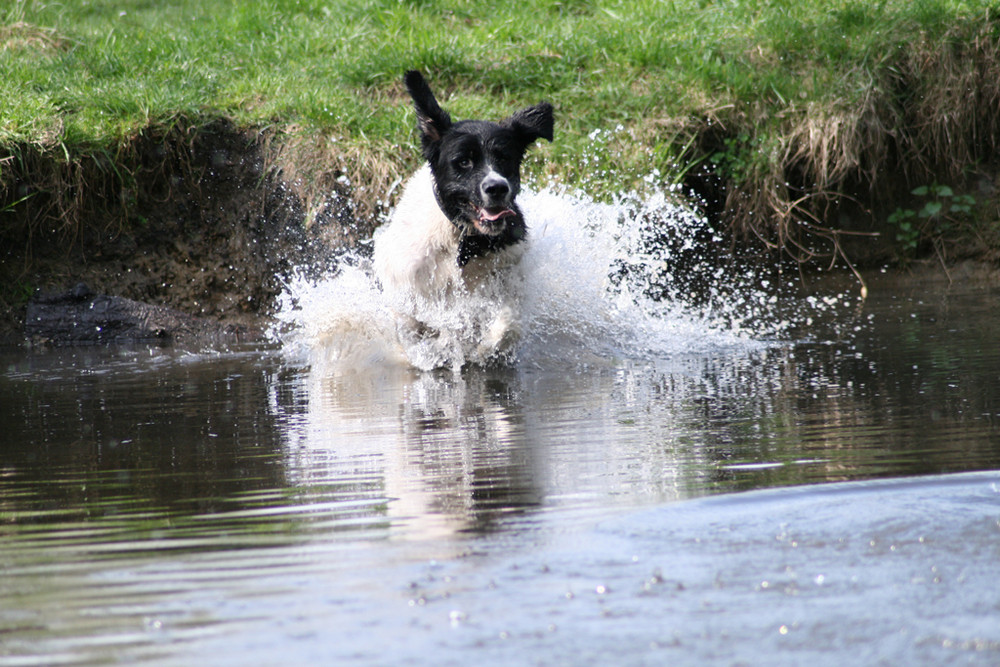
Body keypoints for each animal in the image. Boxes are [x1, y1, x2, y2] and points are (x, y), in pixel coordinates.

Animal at [374, 70, 552, 362]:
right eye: (464, 162)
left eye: (504, 158)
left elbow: (508, 320)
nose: (497, 188)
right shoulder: (407, 280)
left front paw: (486, 346)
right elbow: (413, 326)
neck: (462, 238)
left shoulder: (507, 267)